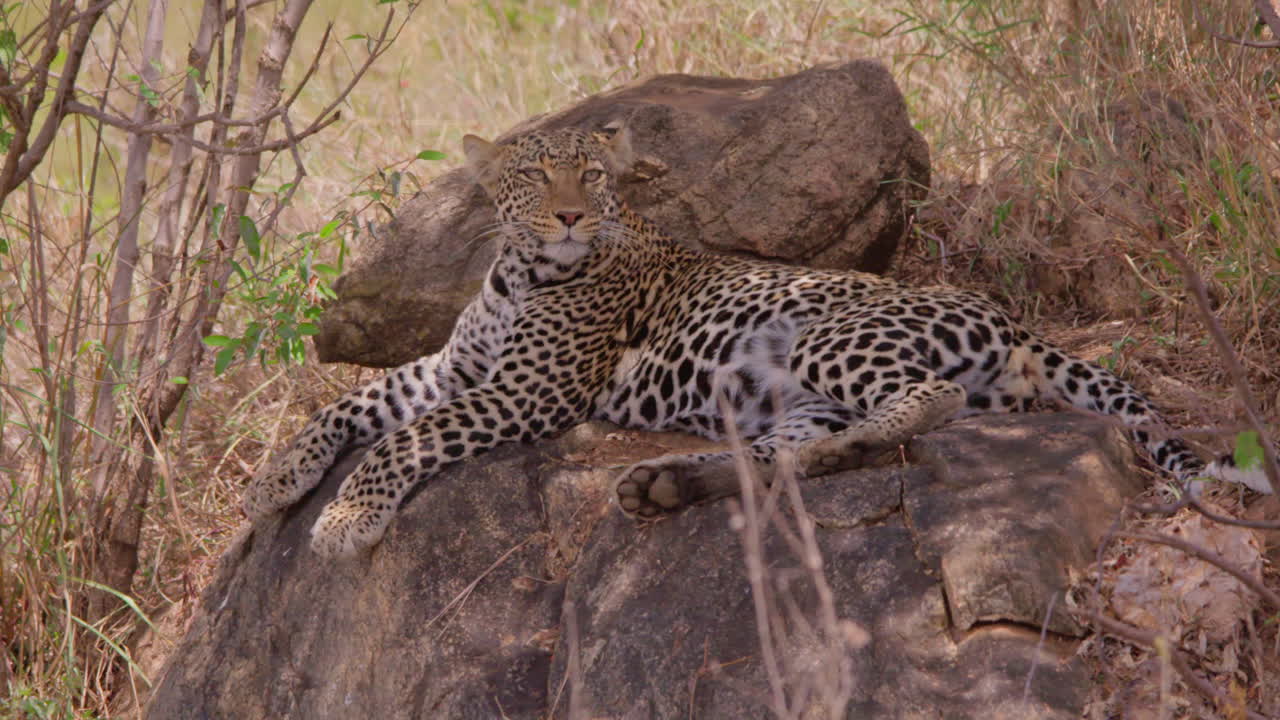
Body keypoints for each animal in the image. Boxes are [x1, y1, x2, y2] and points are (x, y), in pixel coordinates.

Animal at [242, 124, 1269, 560]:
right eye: (536, 178)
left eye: (591, 175)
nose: (571, 215)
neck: (517, 272)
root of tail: (1017, 323)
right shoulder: (454, 368)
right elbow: (355, 402)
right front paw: (276, 480)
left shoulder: (529, 391)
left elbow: (405, 439)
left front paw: (345, 520)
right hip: (794, 399)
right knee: (797, 454)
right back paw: (668, 484)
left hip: (825, 341)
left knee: (923, 404)